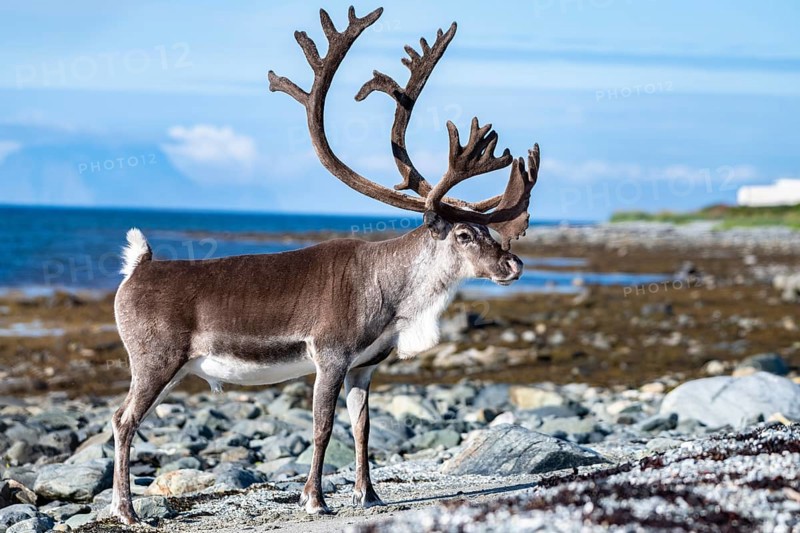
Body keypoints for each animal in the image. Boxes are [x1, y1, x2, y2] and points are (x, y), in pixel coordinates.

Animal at [109, 5, 539, 524]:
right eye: (464, 235)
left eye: (491, 231)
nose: (513, 266)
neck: (393, 296)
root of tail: (139, 267)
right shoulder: (329, 354)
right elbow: (323, 426)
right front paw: (315, 499)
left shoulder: (365, 367)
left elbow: (363, 428)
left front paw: (368, 495)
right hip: (155, 359)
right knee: (123, 419)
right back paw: (126, 511)